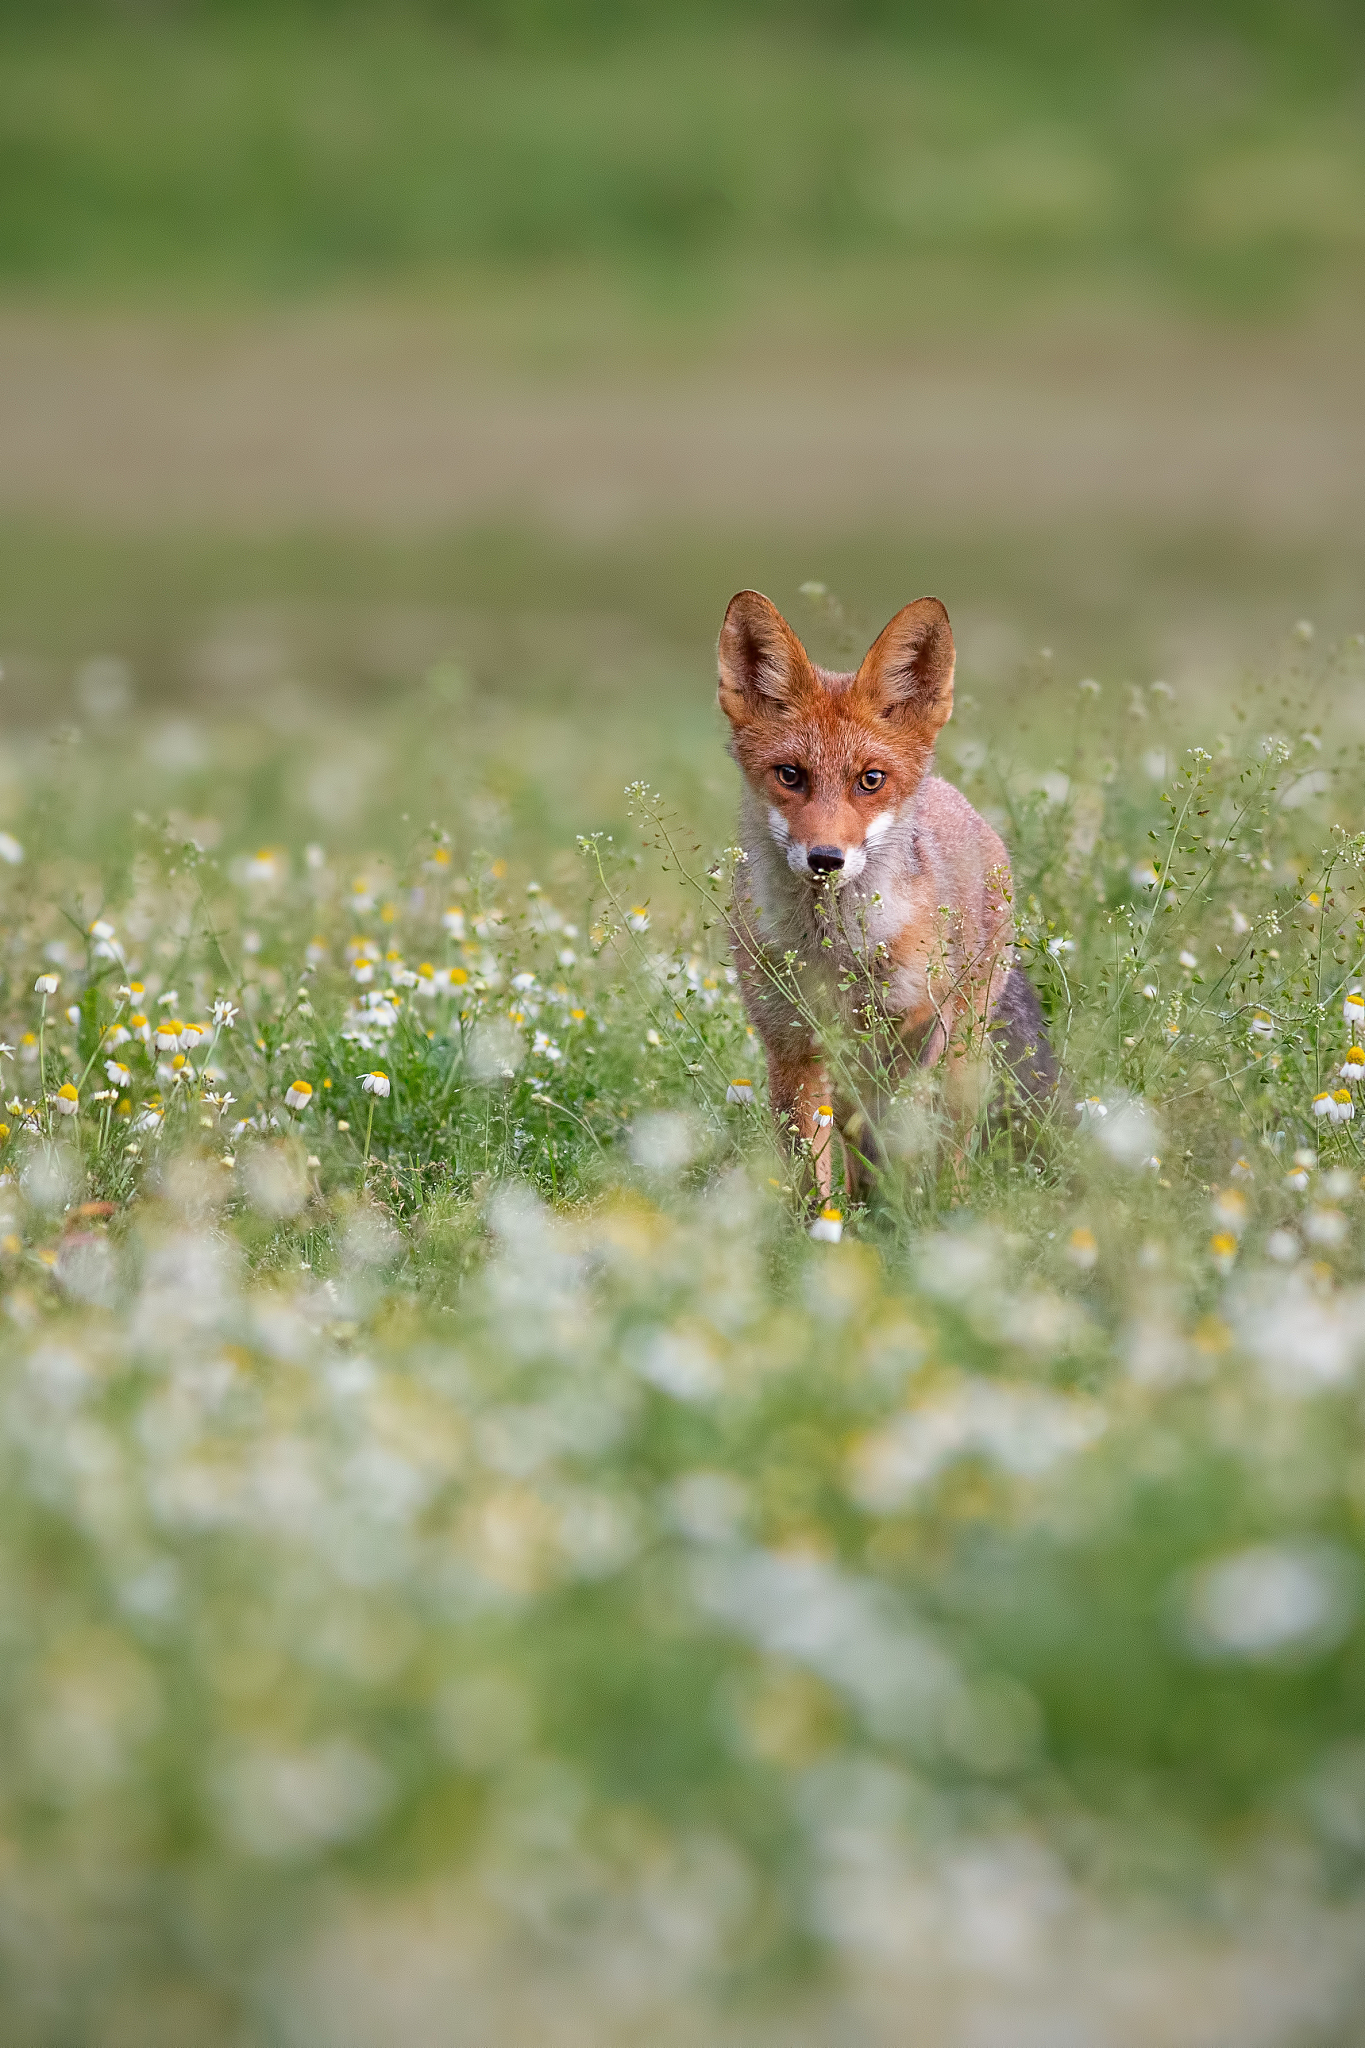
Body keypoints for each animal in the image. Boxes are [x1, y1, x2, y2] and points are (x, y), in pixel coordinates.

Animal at [720, 589, 1064, 1196]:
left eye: (870, 780)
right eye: (790, 775)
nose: (826, 859)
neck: (831, 951)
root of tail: (958, 800)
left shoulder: (909, 1033)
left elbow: (891, 1142)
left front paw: (896, 1214)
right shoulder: (789, 1044)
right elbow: (809, 1171)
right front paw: (825, 1220)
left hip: (960, 1051)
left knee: (950, 1144)